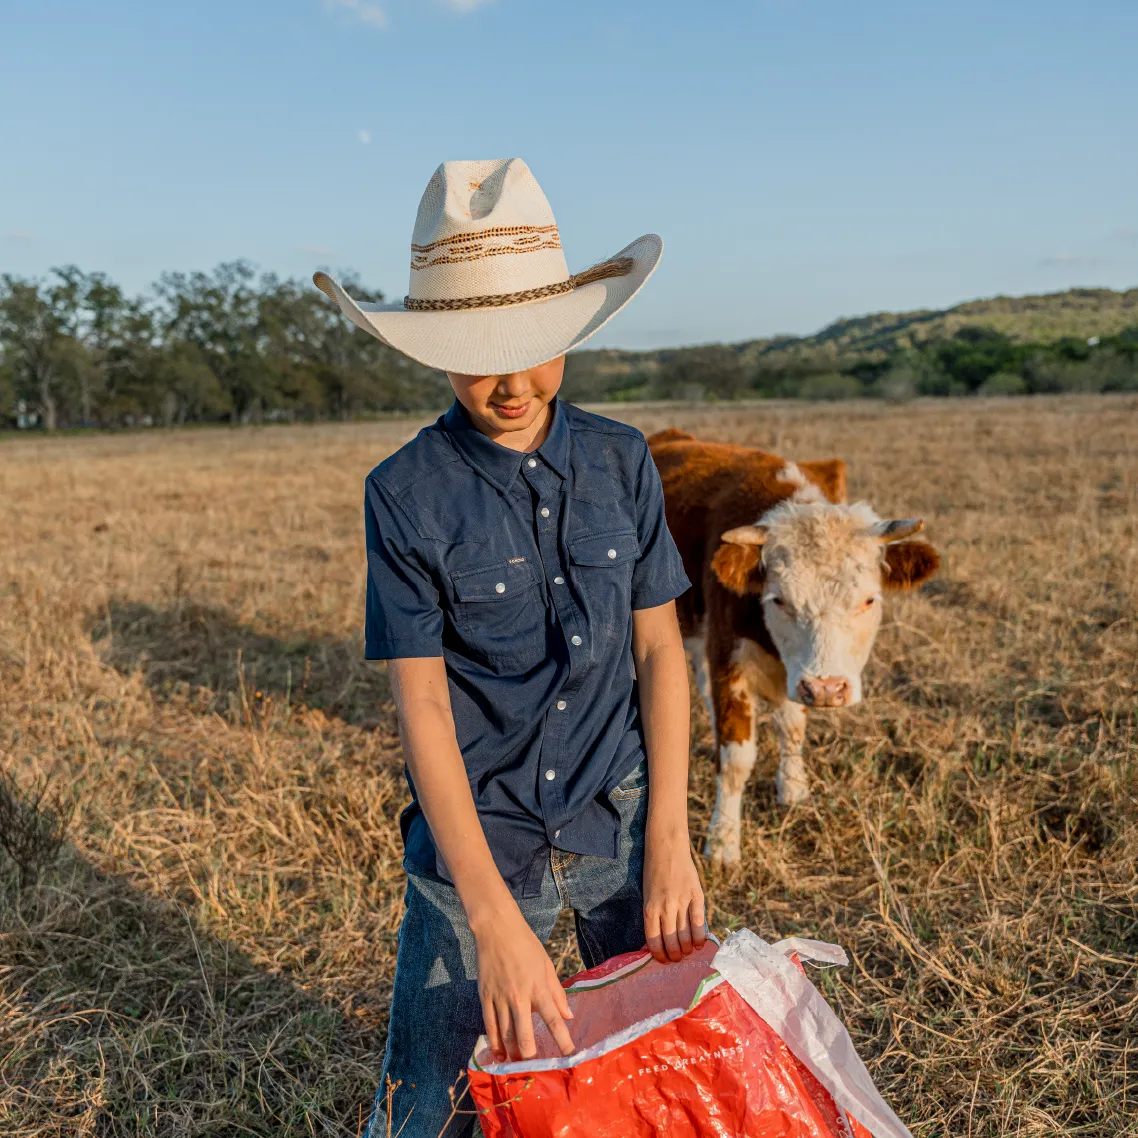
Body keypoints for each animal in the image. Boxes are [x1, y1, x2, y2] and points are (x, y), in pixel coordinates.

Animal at [650, 430, 942, 864]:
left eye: (869, 600)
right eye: (779, 600)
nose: (826, 689)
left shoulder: (793, 672)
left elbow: (793, 727)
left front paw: (792, 787)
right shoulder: (730, 663)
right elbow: (736, 759)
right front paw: (722, 840)